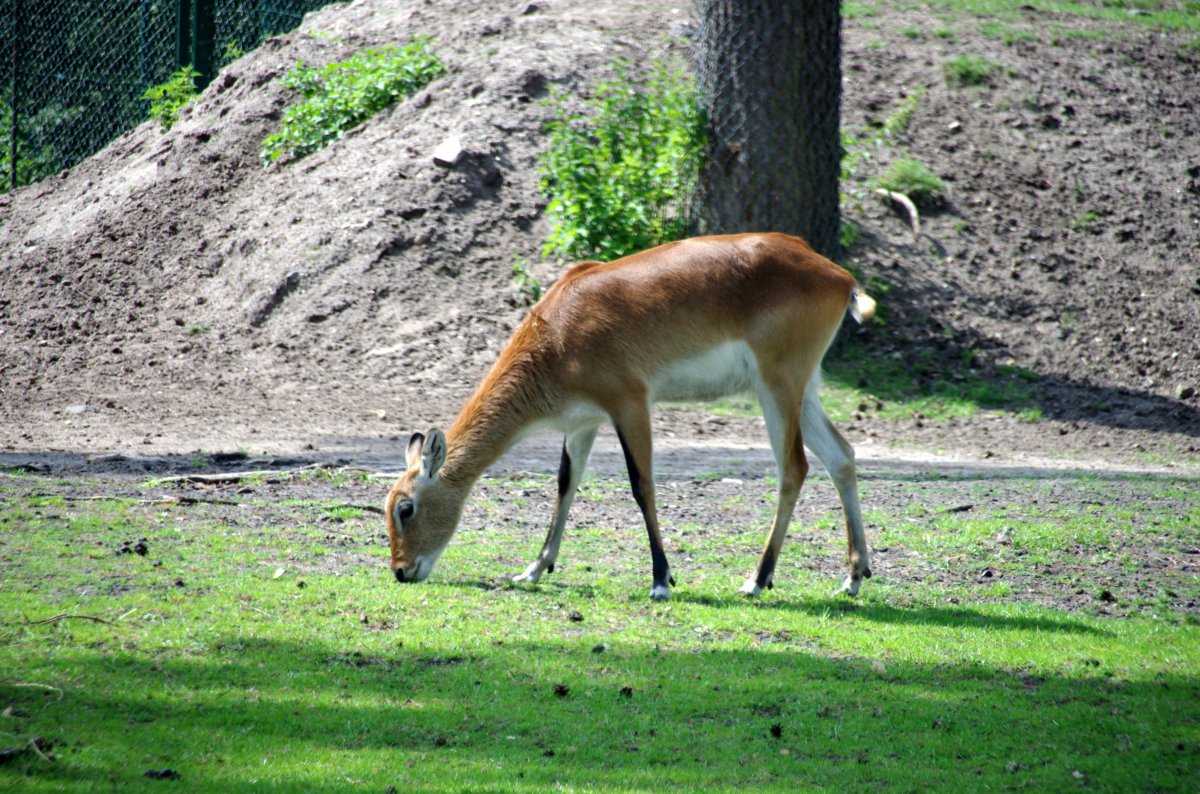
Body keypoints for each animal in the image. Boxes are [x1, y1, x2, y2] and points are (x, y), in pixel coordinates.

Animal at [388, 233, 878, 599]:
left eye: (405, 508)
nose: (400, 571)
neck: (557, 333)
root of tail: (840, 276)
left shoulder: (630, 402)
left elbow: (641, 485)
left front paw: (662, 580)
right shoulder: (583, 421)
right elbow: (566, 484)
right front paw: (533, 569)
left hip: (777, 385)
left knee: (794, 467)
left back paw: (756, 581)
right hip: (803, 390)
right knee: (842, 455)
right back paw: (853, 578)